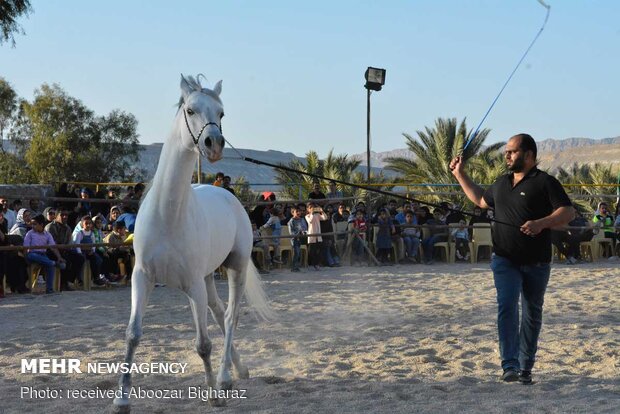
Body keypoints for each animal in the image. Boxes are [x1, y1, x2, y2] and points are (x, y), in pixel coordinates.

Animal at [113, 76, 272, 412]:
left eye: (221, 113)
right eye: (190, 109)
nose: (214, 144)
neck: (169, 216)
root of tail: (229, 197)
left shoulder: (193, 284)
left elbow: (203, 344)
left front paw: (213, 394)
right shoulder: (142, 278)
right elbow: (133, 334)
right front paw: (121, 399)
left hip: (235, 267)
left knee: (230, 315)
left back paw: (225, 378)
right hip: (207, 278)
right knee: (219, 311)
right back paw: (239, 369)